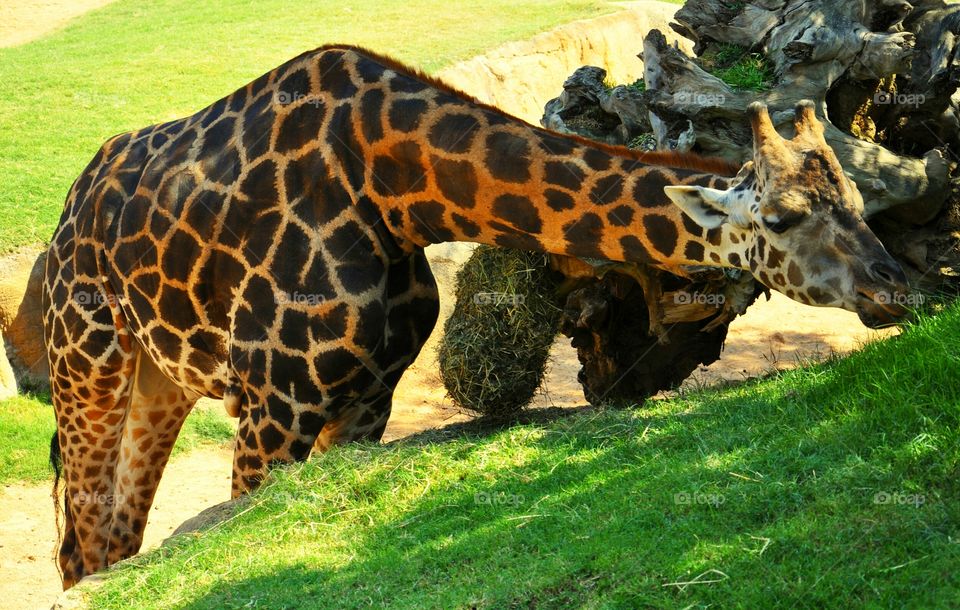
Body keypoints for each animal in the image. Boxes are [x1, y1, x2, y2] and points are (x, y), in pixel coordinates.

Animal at [45, 42, 912, 584]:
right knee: (79, 546)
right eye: (784, 217)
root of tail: (69, 212)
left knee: (112, 537)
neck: (392, 188)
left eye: (858, 197)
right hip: (86, 361)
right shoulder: (273, 400)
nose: (893, 289)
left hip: (160, 378)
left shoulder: (367, 397)